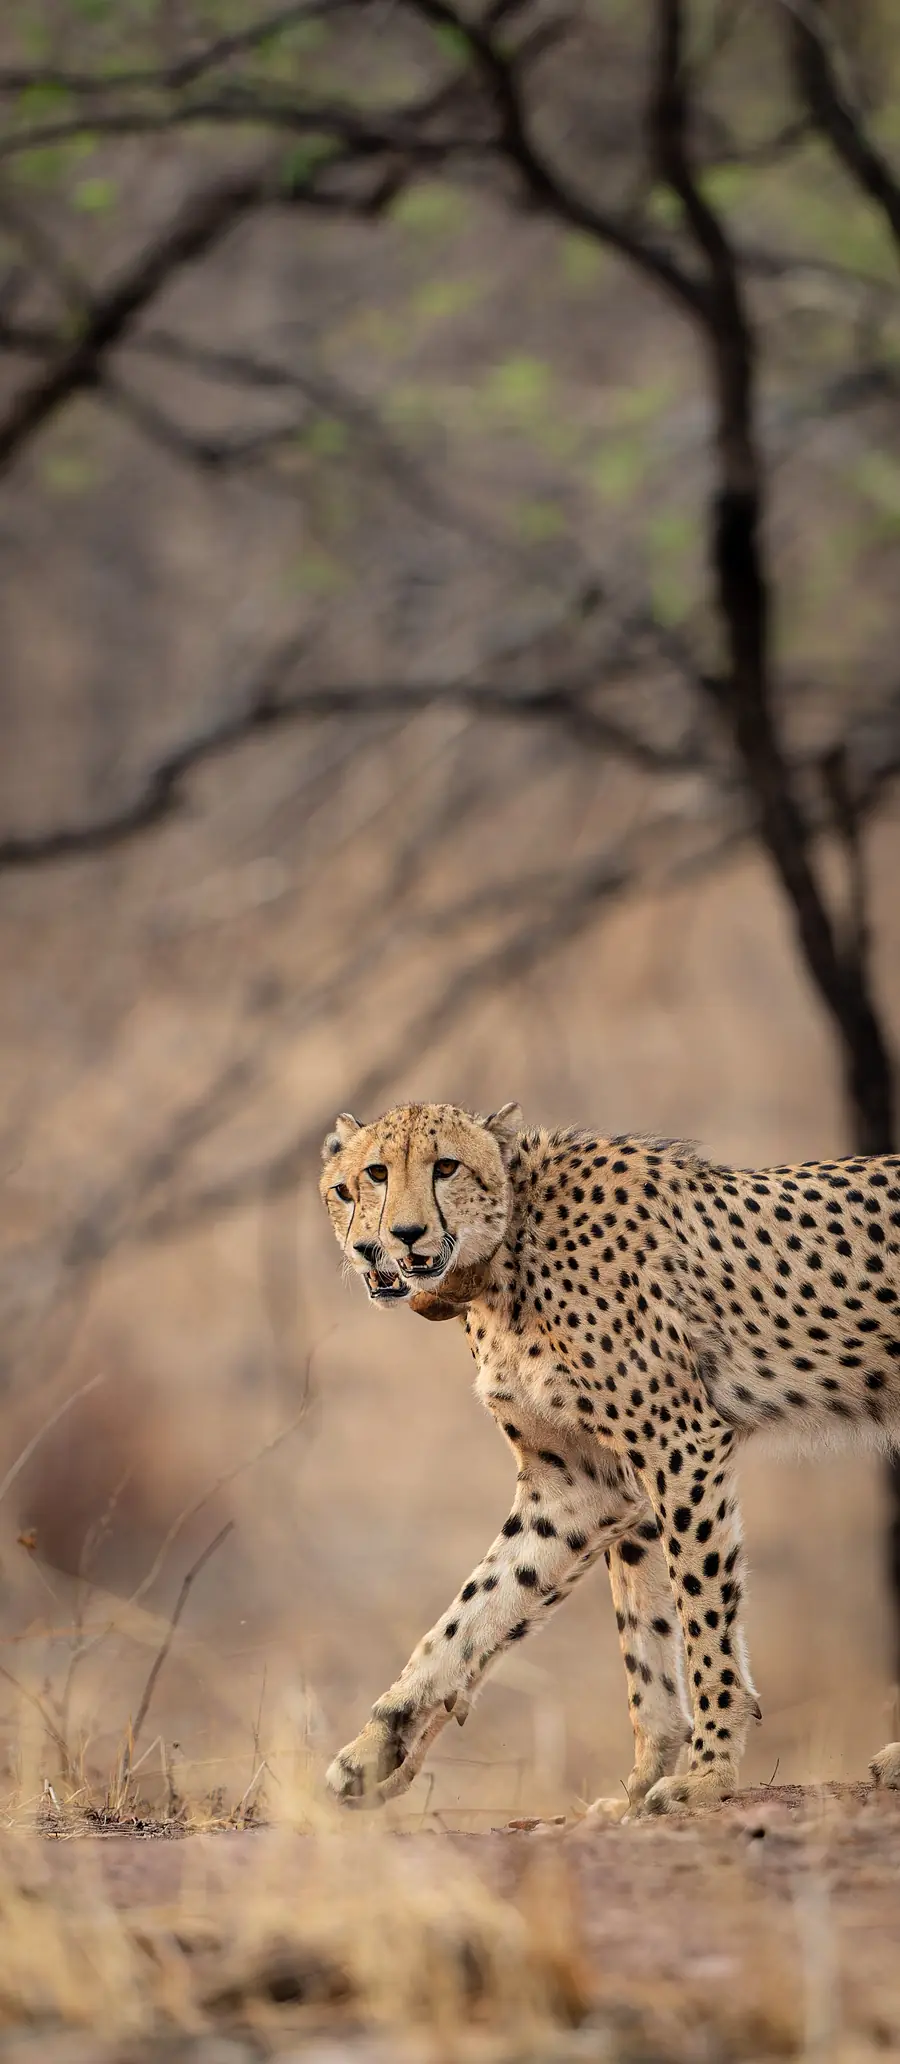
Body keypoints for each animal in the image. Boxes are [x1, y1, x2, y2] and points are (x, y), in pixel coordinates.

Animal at [319, 1097, 900, 1818]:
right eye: (361, 1180)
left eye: (445, 1167)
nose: (389, 1241)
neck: (507, 1253)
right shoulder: (581, 1484)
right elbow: (493, 1607)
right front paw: (379, 1744)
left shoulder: (679, 1444)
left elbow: (701, 1614)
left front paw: (707, 1774)